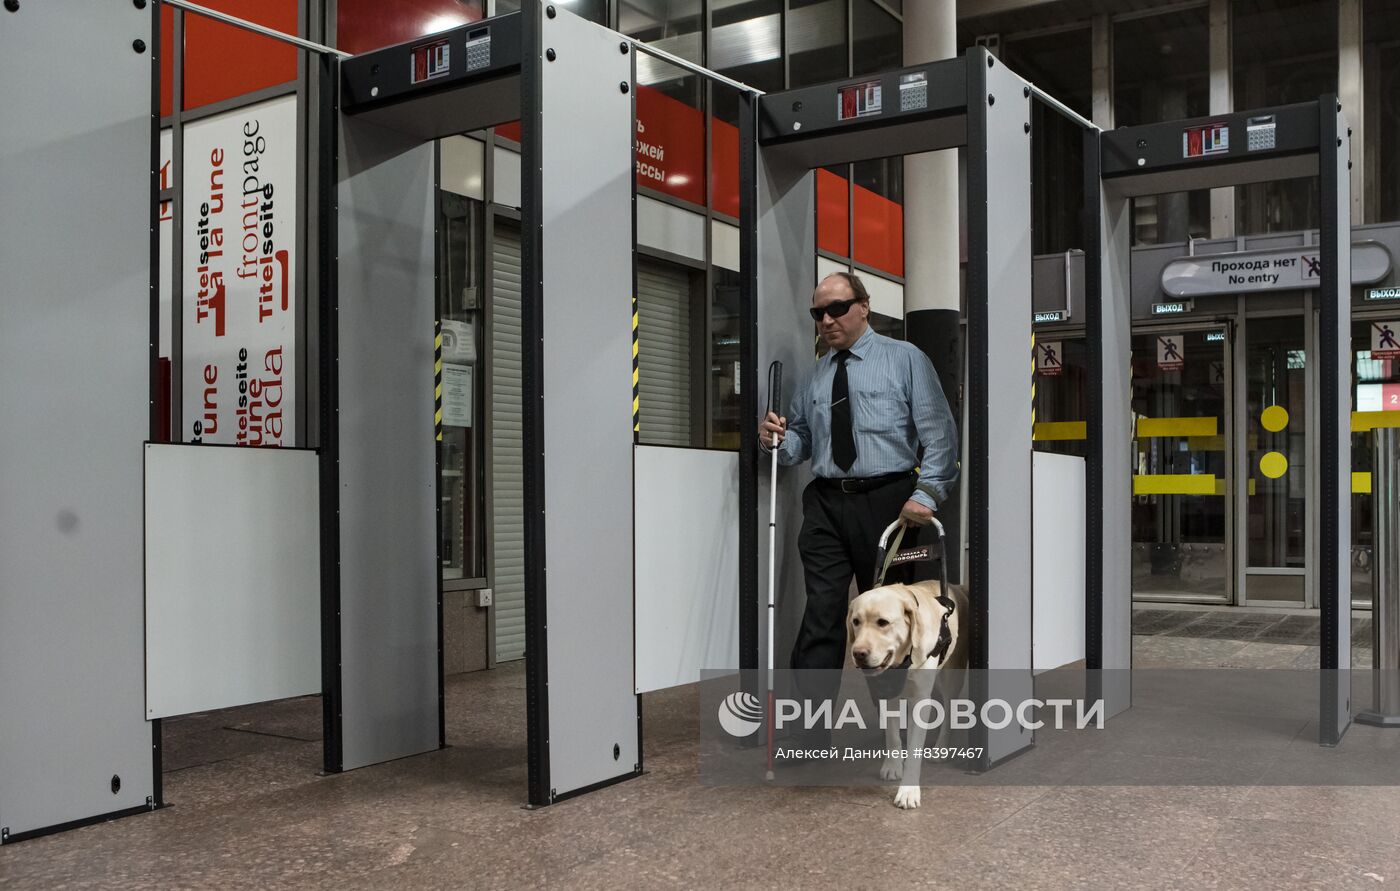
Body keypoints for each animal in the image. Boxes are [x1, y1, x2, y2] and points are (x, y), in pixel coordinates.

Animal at [845, 579, 968, 812]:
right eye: (856, 621)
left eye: (883, 622)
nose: (858, 654)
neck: (904, 660)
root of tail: (957, 586)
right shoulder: (886, 694)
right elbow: (892, 736)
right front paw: (892, 765)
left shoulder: (920, 699)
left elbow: (914, 748)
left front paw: (909, 791)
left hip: (951, 676)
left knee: (949, 710)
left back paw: (941, 749)